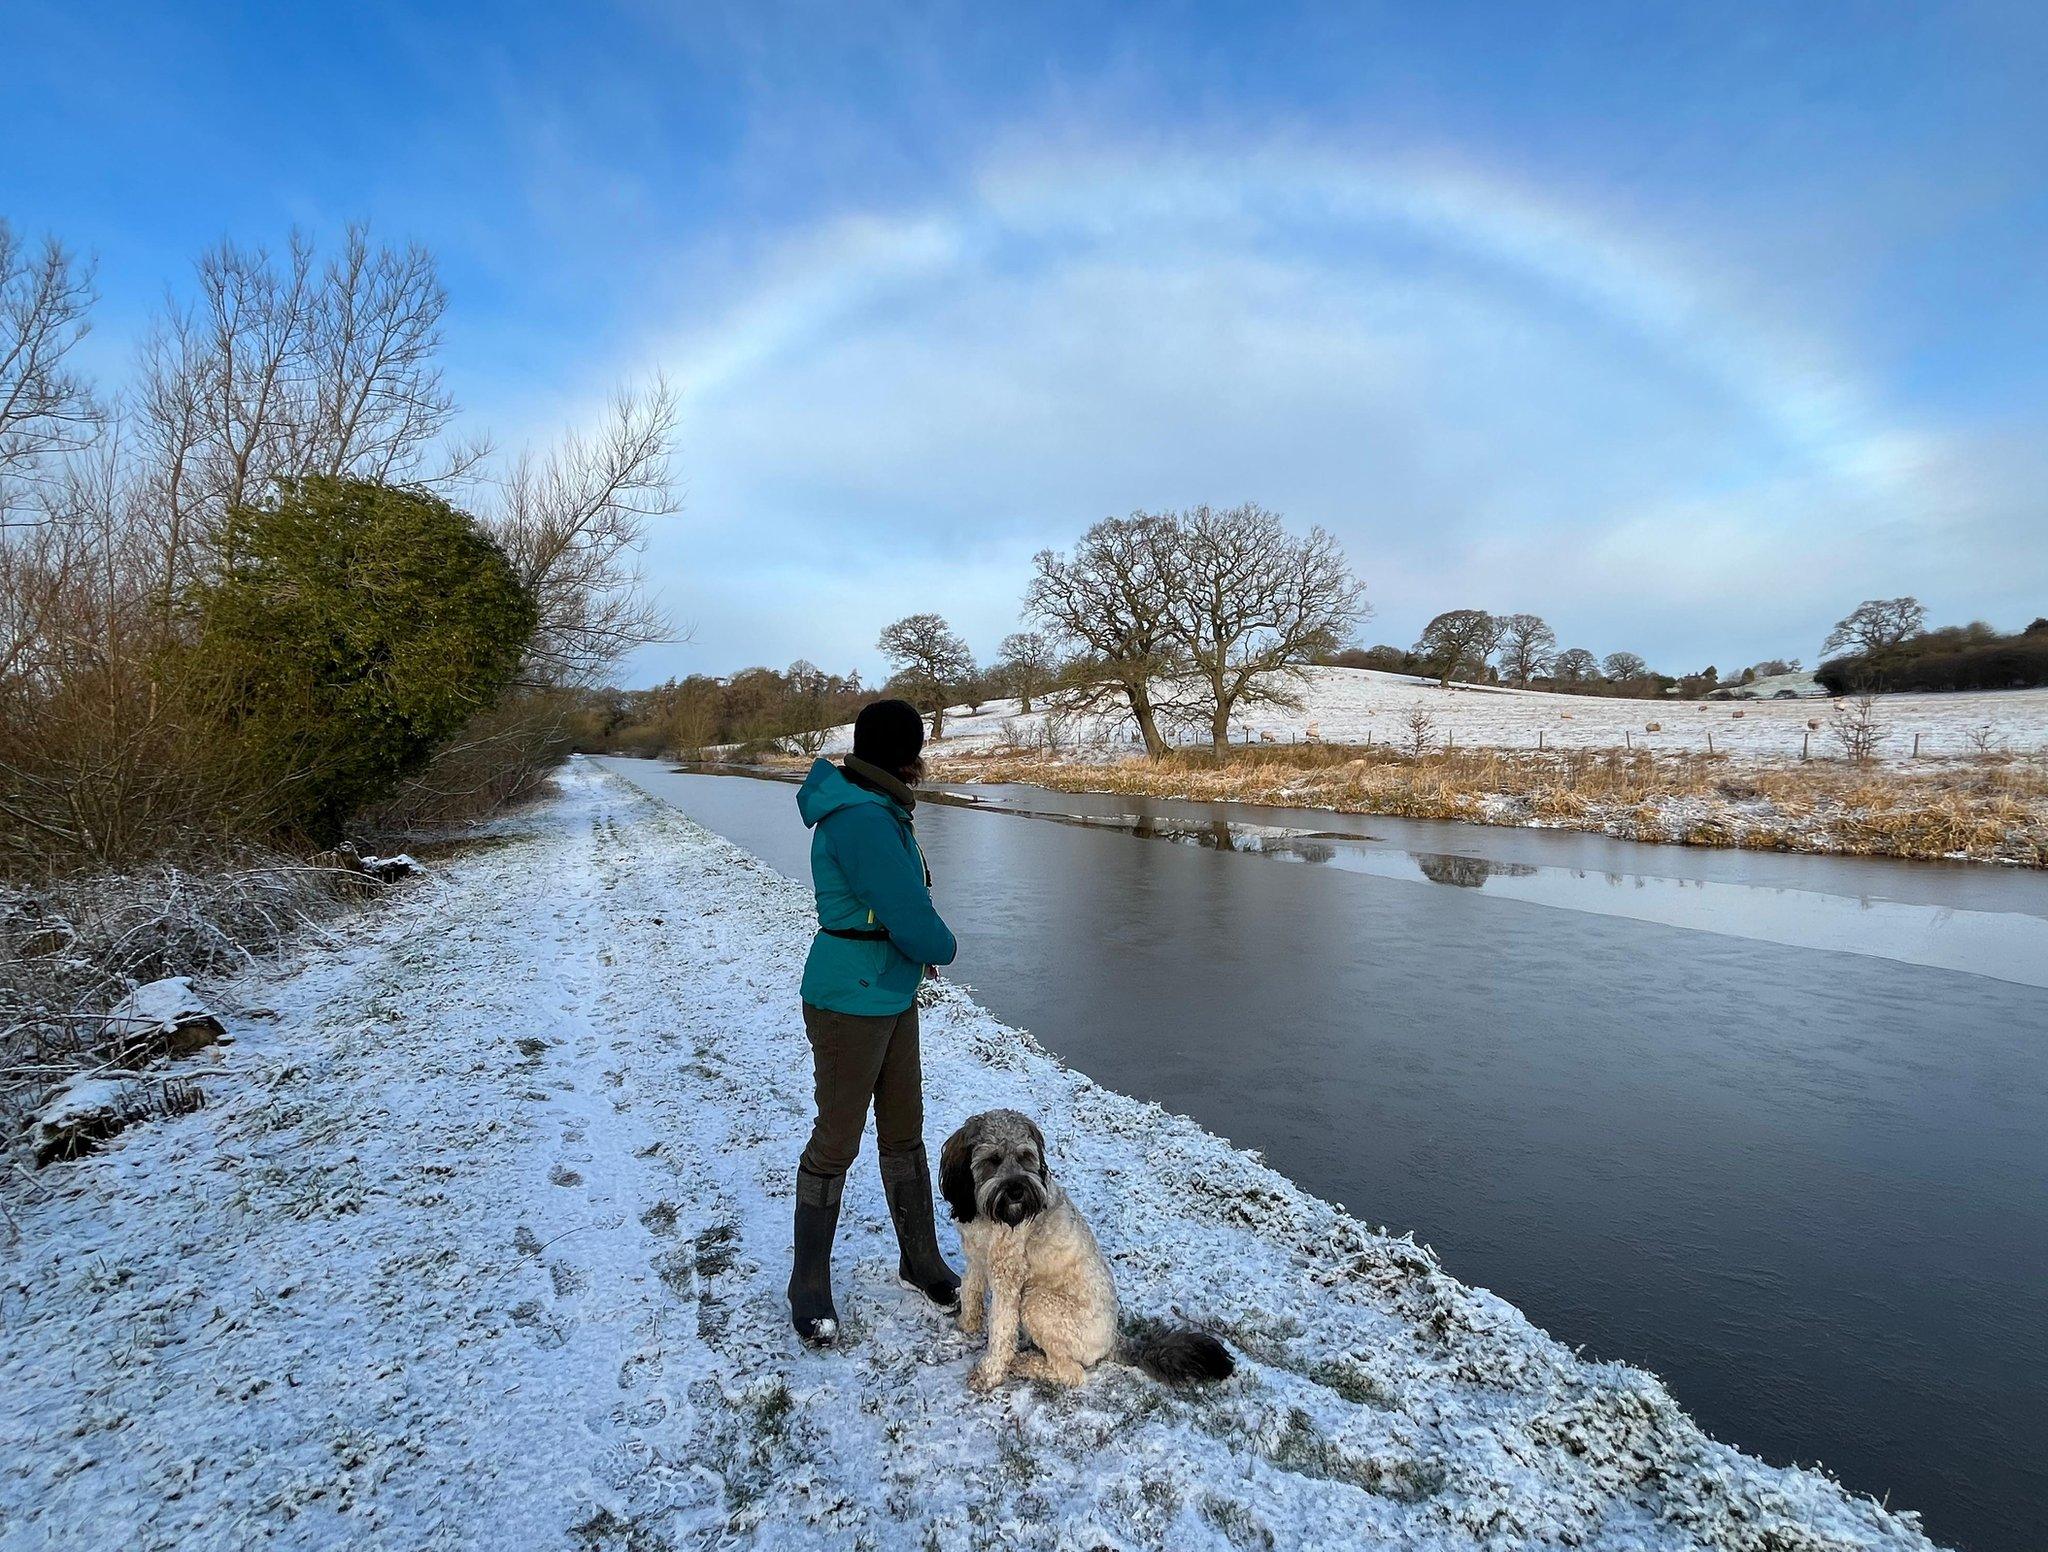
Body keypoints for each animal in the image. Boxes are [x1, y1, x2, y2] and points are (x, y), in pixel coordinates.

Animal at [937, 1113, 1228, 1392]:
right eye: (992, 1160)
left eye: (1025, 1157)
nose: (1017, 1191)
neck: (988, 1215)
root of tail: (1113, 1340)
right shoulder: (976, 1257)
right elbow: (970, 1289)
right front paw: (967, 1324)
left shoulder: (1007, 1277)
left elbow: (1001, 1328)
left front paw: (989, 1374)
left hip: (1037, 1302)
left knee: (1071, 1373)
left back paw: (1025, 1363)